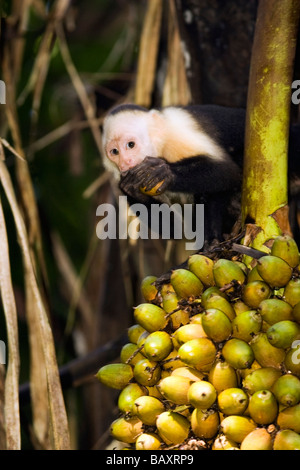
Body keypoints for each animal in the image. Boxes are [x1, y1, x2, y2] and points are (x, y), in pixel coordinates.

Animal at [101, 103, 300, 242]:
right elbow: (175, 229)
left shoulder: (176, 136)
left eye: (131, 145)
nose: (125, 162)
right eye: (114, 152)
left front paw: (164, 173)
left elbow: (226, 171)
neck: (160, 146)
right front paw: (130, 187)